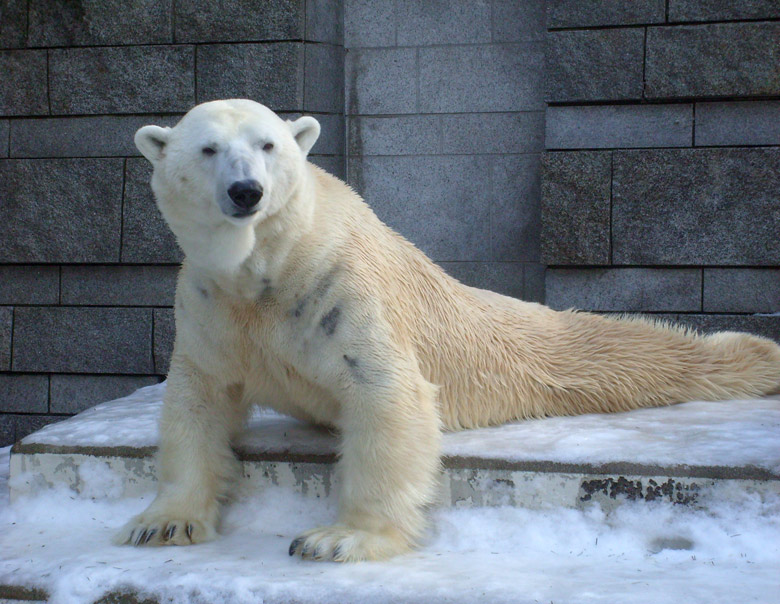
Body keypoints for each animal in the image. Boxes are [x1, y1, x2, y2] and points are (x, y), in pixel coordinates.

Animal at [114, 100, 780, 560]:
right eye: (207, 149)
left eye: (268, 144)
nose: (246, 190)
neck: (267, 266)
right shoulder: (210, 304)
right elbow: (197, 401)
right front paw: (163, 523)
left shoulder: (336, 284)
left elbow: (387, 395)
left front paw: (339, 539)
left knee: (622, 351)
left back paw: (754, 352)